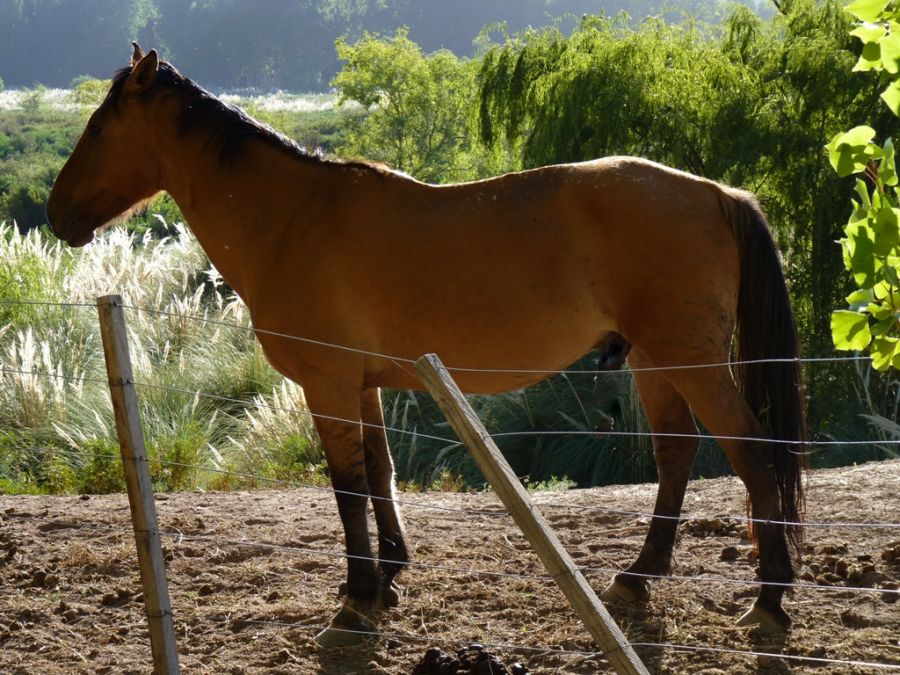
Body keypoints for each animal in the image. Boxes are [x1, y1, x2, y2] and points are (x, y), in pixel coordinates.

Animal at [47, 45, 808, 648]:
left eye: (99, 125)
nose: (56, 215)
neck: (295, 220)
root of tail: (716, 193)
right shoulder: (363, 385)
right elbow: (378, 474)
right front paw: (387, 579)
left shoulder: (327, 384)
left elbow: (347, 487)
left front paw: (356, 601)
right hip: (656, 362)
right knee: (677, 456)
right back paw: (638, 578)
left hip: (691, 361)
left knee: (751, 453)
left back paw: (769, 600)